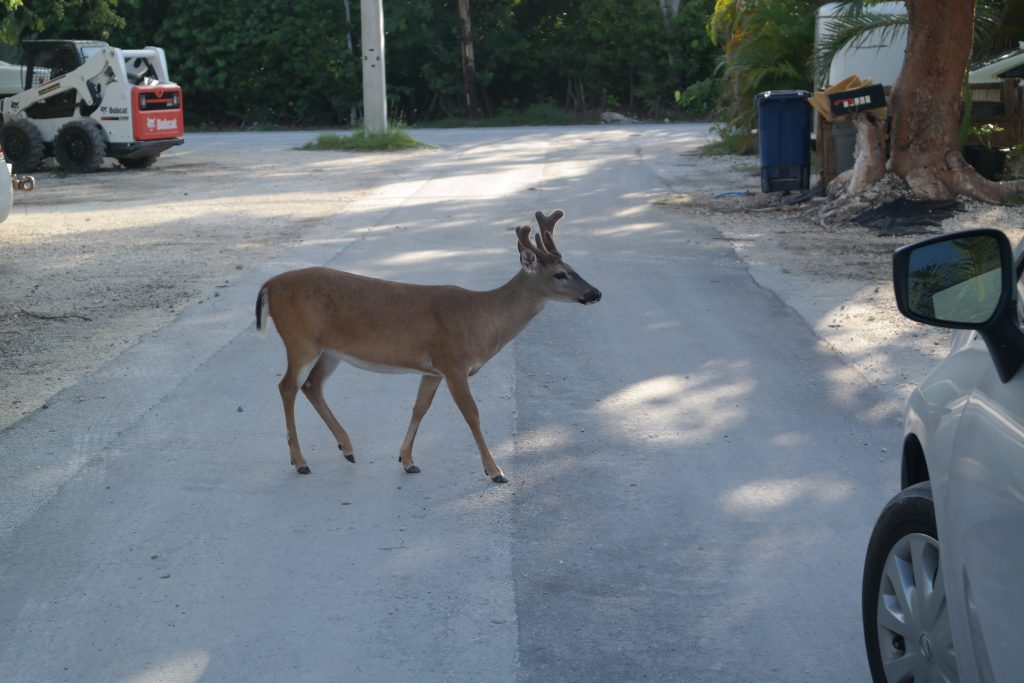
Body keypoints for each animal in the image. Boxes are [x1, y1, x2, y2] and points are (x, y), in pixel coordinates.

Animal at [254, 210, 598, 483]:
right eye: (560, 274)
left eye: (573, 267)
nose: (596, 293)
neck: (481, 319)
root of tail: (268, 284)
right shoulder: (453, 362)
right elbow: (471, 413)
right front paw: (495, 471)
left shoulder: (432, 369)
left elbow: (420, 407)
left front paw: (407, 460)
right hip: (300, 339)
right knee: (287, 386)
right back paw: (301, 462)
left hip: (330, 351)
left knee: (311, 386)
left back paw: (347, 449)